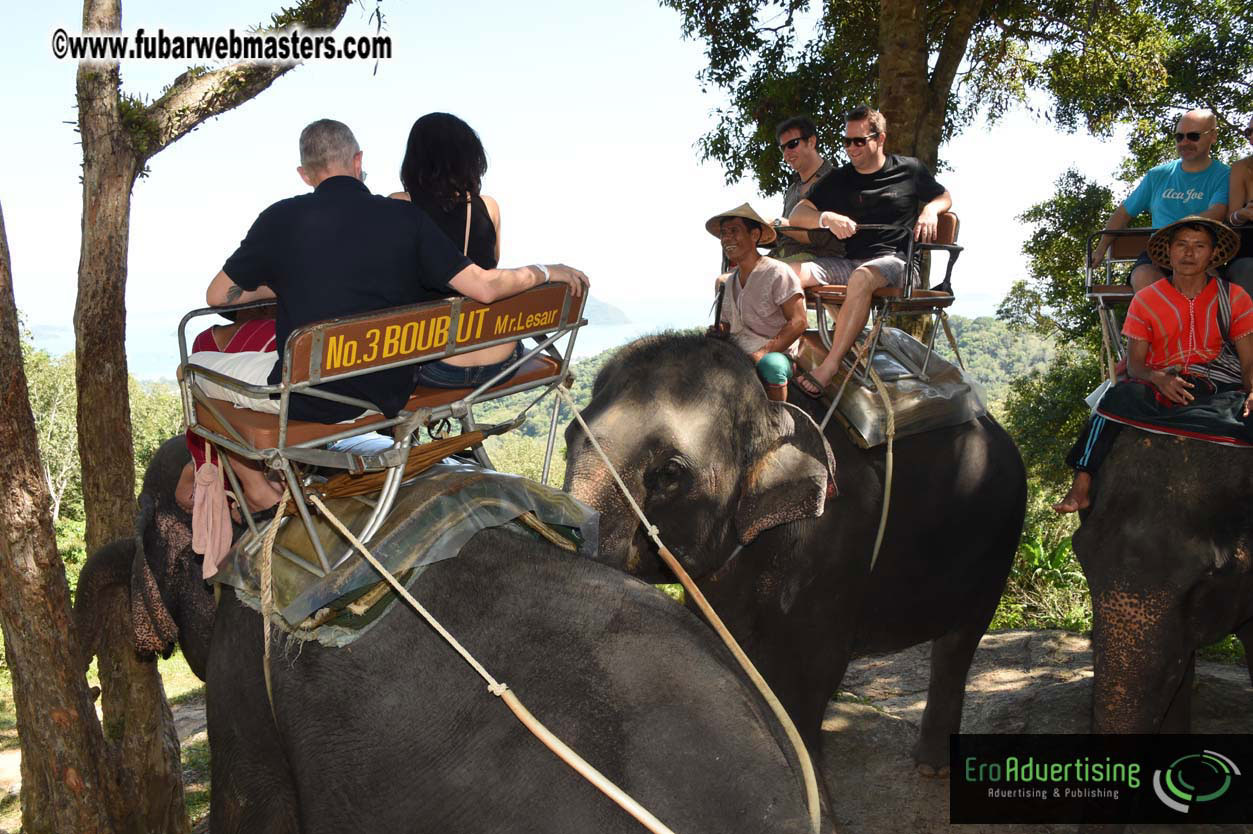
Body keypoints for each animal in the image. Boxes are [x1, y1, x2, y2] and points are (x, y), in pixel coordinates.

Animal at [563, 333, 1027, 773]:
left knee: (959, 643)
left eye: (670, 473)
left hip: (1000, 541)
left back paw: (931, 767)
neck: (769, 403)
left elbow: (808, 674)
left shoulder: (832, 547)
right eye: (568, 436)